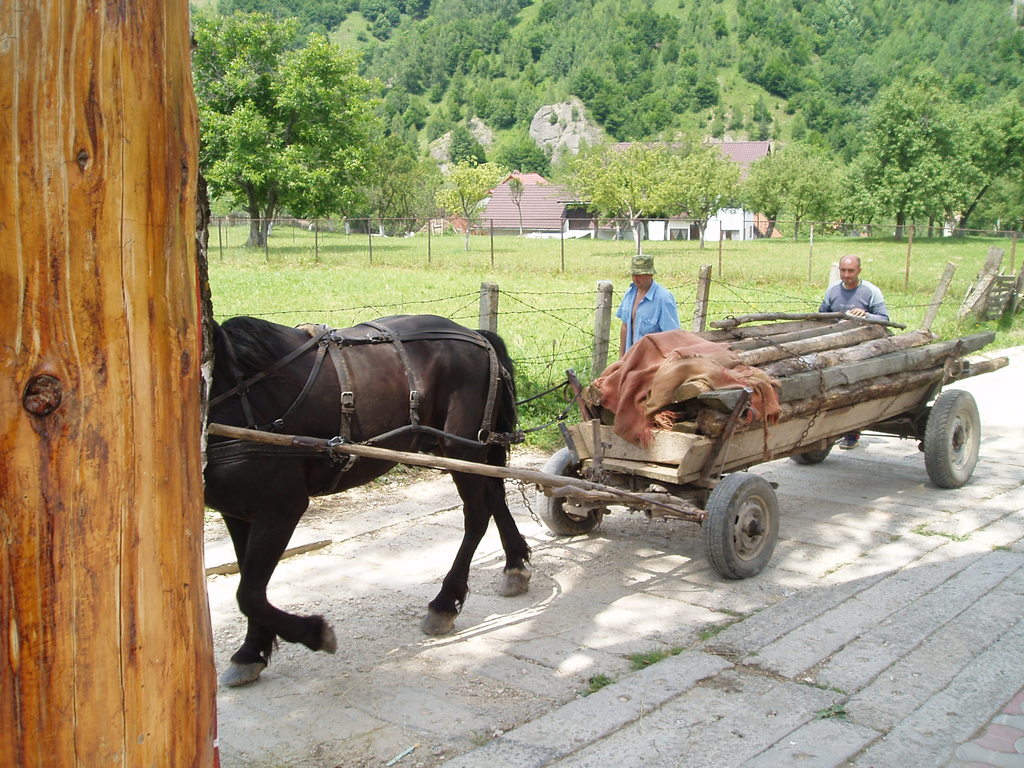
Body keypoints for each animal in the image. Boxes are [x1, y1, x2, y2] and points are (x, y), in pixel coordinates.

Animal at [204, 315, 532, 688]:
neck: (234, 391)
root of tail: (475, 335)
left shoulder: (280, 509)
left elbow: (249, 594)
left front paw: (314, 633)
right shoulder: (237, 512)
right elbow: (250, 585)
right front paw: (251, 651)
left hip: (462, 447)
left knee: (477, 515)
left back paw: (445, 603)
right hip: (463, 451)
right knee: (494, 497)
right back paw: (515, 565)